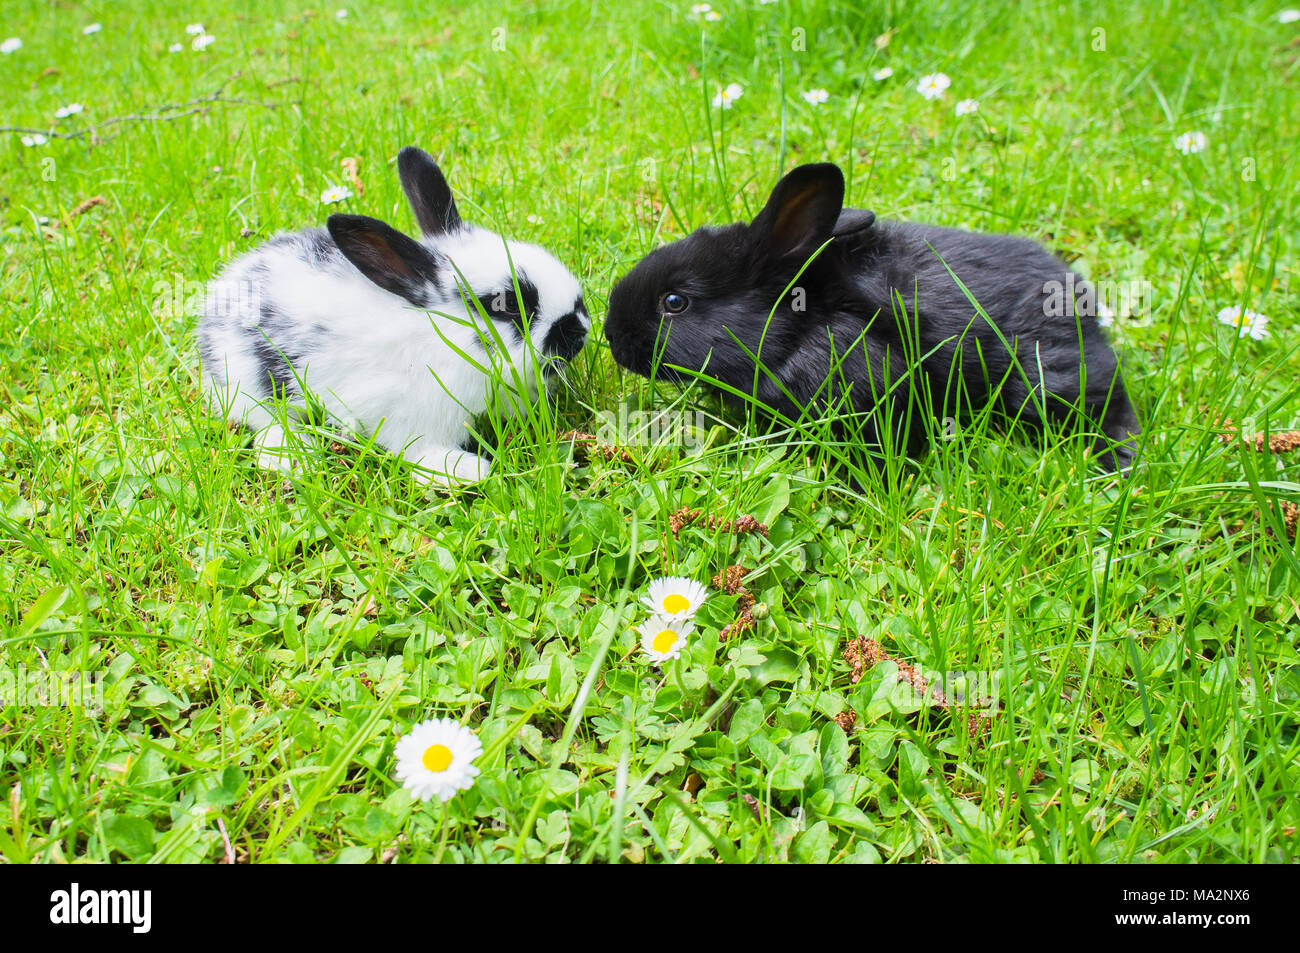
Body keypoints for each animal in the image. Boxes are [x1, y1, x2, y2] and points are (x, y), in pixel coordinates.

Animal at [198, 146, 590, 485]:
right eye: (505, 304)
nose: (581, 327)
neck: (439, 339)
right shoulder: (408, 416)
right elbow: (419, 450)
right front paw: (466, 471)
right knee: (267, 426)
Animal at [604, 162, 1141, 473]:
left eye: (675, 302)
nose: (611, 335)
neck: (805, 324)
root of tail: (1080, 300)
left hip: (1049, 380)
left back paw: (1119, 462)